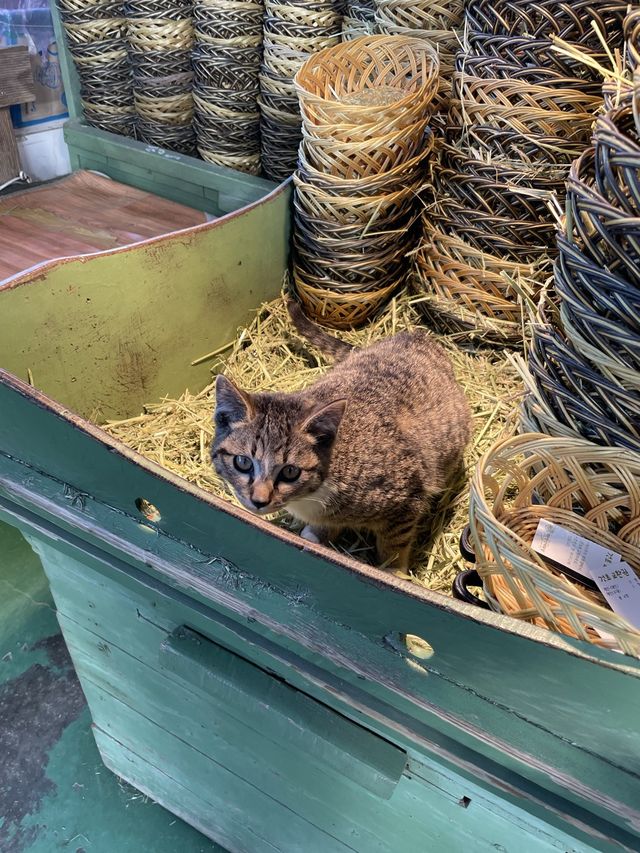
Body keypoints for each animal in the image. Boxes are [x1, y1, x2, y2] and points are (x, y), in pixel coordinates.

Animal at [212, 302, 472, 568]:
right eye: (242, 462)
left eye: (290, 471)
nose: (259, 500)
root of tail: (419, 337)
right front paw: (317, 534)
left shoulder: (408, 499)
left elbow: (394, 546)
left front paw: (394, 570)